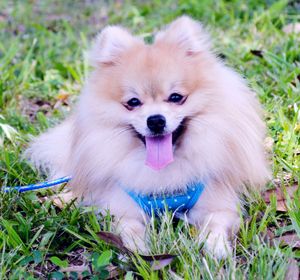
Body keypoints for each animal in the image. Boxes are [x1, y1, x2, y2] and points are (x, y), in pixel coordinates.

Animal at [25, 16, 270, 258]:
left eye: (176, 97)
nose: (155, 120)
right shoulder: (122, 208)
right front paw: (138, 249)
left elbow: (215, 224)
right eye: (133, 102)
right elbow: (128, 228)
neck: (163, 176)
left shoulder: (218, 203)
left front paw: (215, 247)